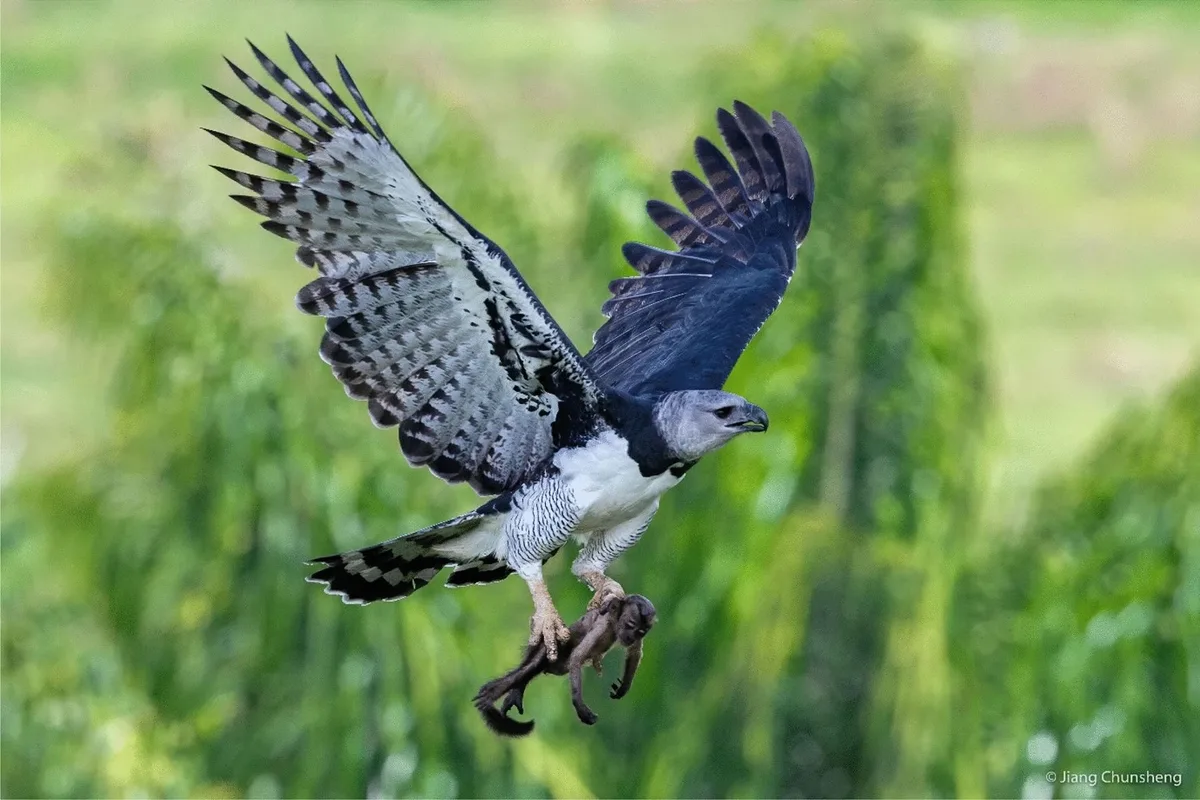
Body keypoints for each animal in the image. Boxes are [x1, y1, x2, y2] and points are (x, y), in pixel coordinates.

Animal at [473, 594, 656, 736]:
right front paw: (580, 706)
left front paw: (624, 687)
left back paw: (513, 693)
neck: (614, 624)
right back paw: (490, 694)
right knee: (532, 665)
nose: (631, 637)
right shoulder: (602, 626)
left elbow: (635, 654)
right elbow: (577, 657)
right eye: (630, 624)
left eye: (641, 632)